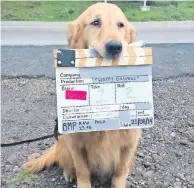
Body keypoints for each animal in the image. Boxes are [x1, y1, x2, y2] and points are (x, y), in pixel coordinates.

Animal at [25, 2, 142, 187]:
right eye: (95, 22)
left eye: (121, 25)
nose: (115, 46)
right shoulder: (76, 142)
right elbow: (82, 170)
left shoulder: (129, 141)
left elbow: (119, 172)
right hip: (64, 143)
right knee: (66, 163)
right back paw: (68, 173)